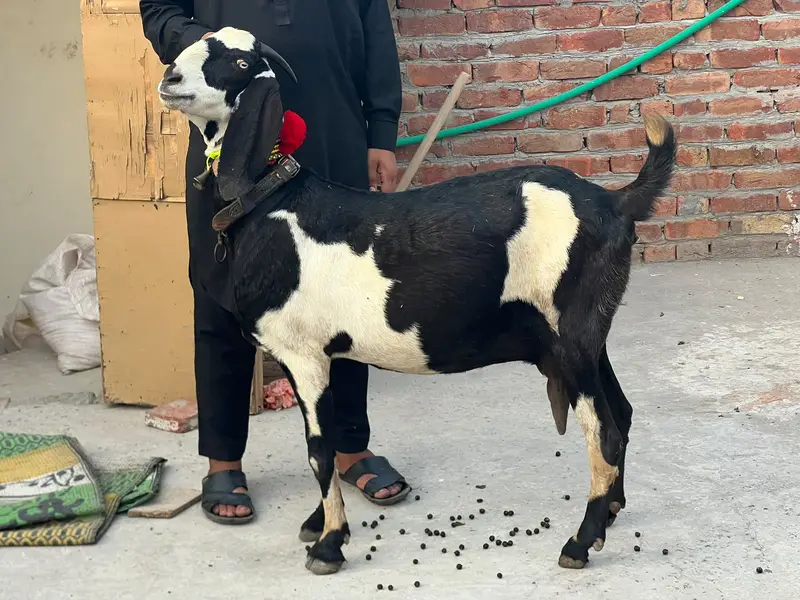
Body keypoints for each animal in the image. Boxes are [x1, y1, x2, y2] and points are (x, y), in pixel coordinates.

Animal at [158, 27, 677, 576]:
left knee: (604, 432)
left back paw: (580, 541)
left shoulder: (305, 356)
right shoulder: (319, 357)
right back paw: (610, 514)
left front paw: (329, 544)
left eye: (238, 63)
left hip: (572, 337)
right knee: (622, 413)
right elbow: (323, 444)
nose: (170, 77)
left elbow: (319, 451)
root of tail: (614, 202)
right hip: (585, 337)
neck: (274, 201)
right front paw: (320, 525)